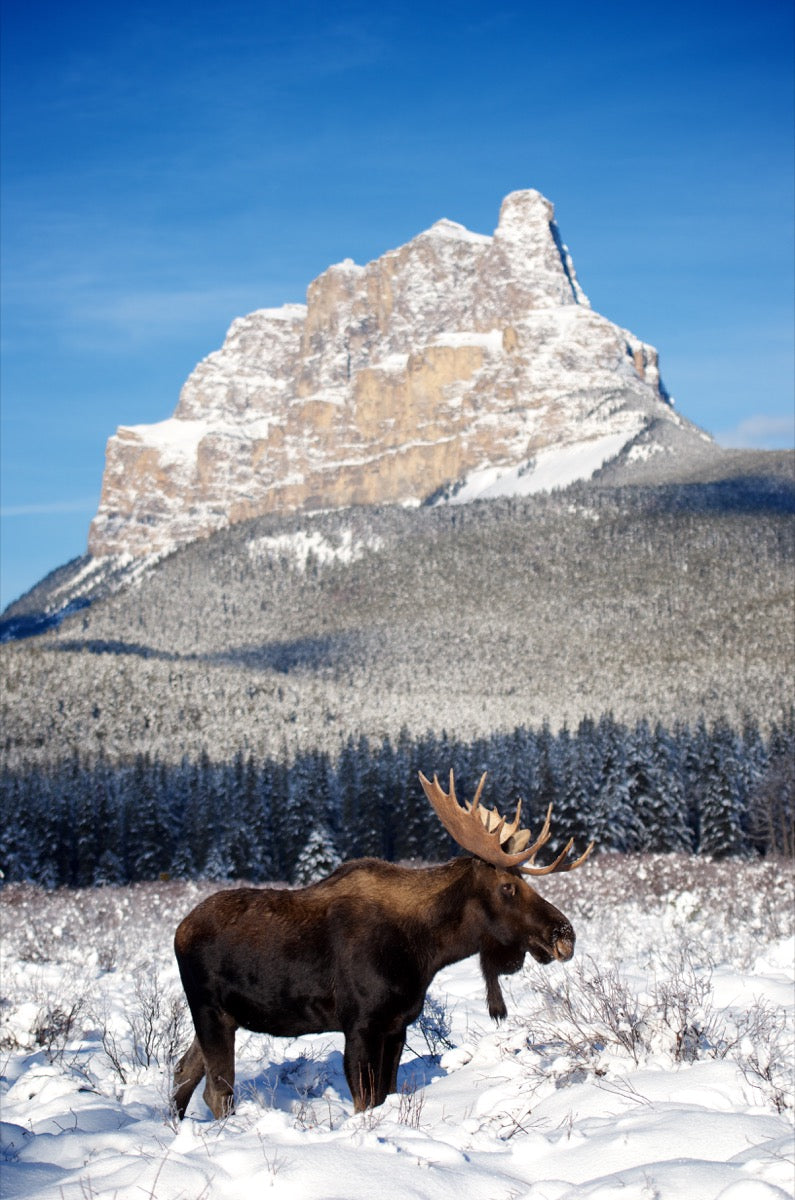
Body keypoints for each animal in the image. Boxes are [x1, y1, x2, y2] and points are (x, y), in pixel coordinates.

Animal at [172, 770, 593, 1119]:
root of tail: (179, 931)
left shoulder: (397, 1025)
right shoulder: (361, 1024)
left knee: (183, 1072)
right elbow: (364, 1101)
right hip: (210, 1011)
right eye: (508, 887)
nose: (564, 934)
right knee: (217, 1091)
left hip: (220, 1017)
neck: (426, 951)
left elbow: (385, 1094)